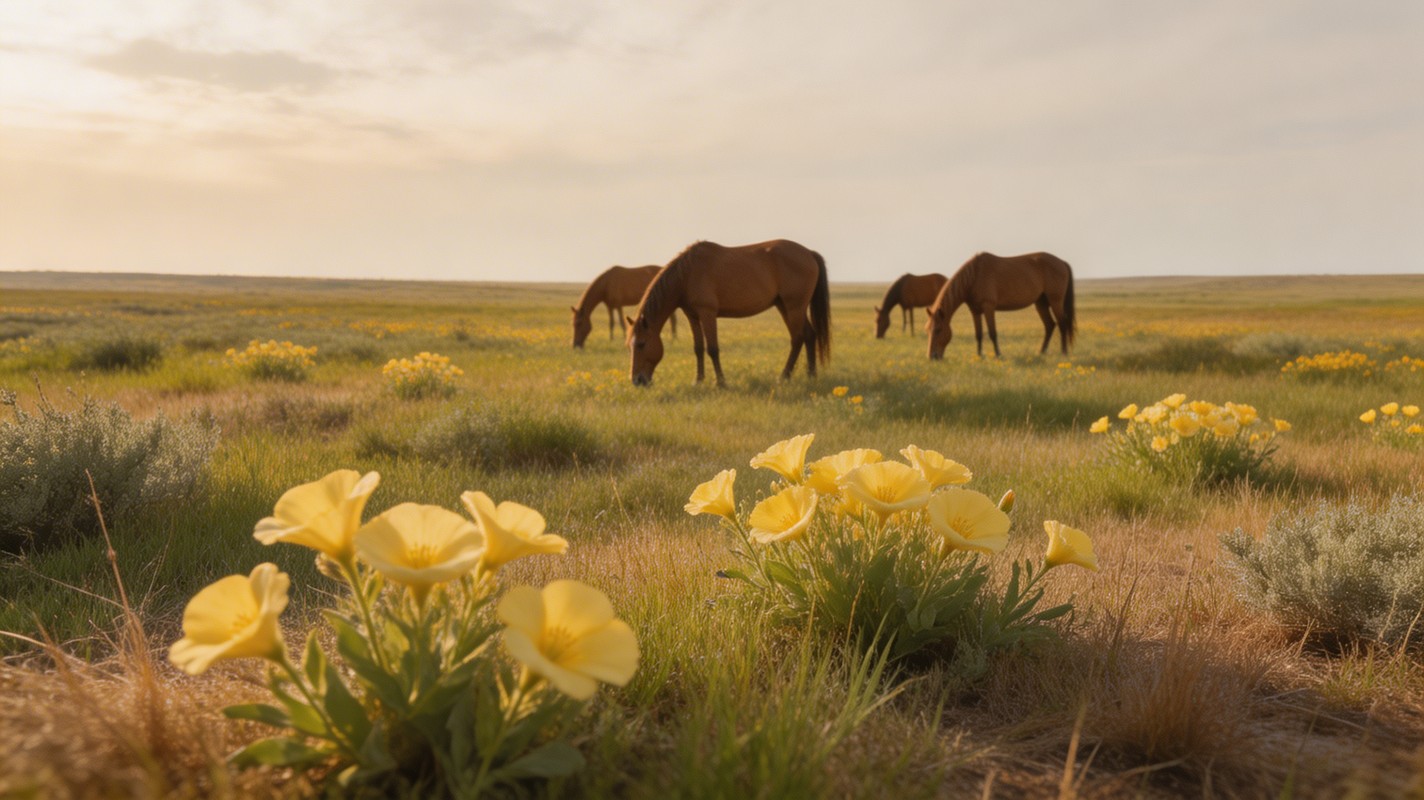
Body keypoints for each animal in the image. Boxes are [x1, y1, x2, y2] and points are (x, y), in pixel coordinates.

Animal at [626, 239, 830, 386]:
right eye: (630, 345)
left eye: (642, 344)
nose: (637, 380)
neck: (687, 275)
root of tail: (809, 253)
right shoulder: (692, 316)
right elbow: (698, 349)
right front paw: (698, 381)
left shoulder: (707, 314)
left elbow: (712, 349)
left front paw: (721, 382)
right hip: (785, 307)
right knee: (809, 335)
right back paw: (811, 375)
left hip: (794, 307)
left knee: (798, 338)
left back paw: (784, 377)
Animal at [926, 252, 1075, 359]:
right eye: (928, 330)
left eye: (938, 329)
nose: (932, 356)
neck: (974, 276)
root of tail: (1061, 262)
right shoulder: (975, 311)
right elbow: (978, 334)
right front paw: (979, 355)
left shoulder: (988, 307)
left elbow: (993, 333)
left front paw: (998, 355)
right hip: (1041, 303)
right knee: (1050, 325)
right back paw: (1041, 352)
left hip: (1055, 301)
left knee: (1062, 323)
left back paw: (1064, 352)